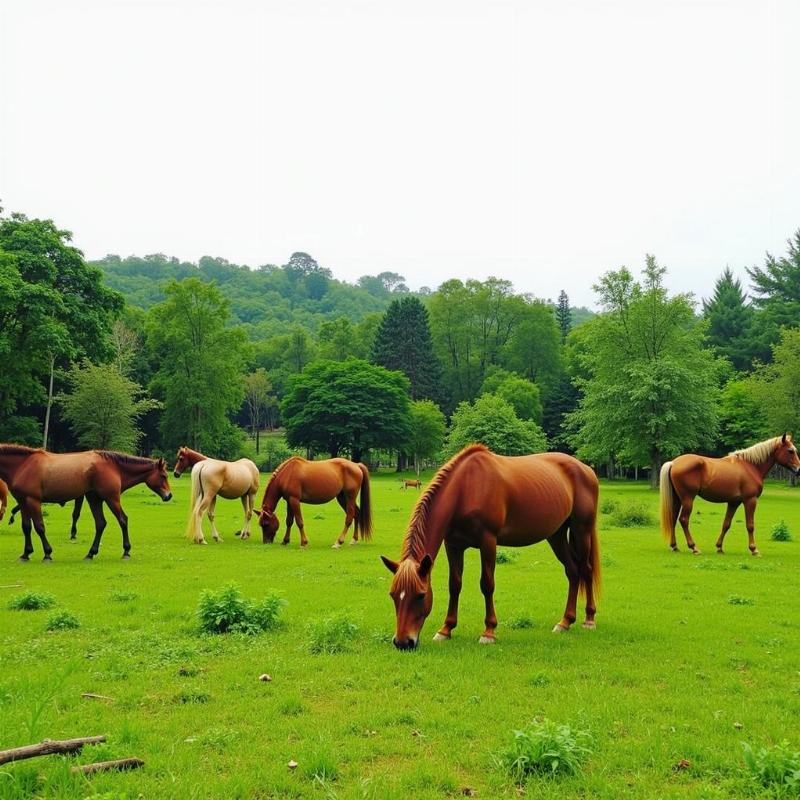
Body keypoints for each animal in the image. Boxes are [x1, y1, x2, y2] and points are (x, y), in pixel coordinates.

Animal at [0, 444, 173, 564]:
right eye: (164, 476)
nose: (169, 495)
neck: (23, 465)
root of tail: (110, 463)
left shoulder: (33, 501)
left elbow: (40, 527)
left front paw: (47, 554)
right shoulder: (23, 501)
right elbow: (26, 527)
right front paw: (26, 553)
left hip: (110, 498)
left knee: (122, 520)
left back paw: (126, 552)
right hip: (94, 499)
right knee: (101, 523)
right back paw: (91, 553)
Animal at [382, 444, 600, 648]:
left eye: (420, 595)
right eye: (393, 595)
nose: (403, 642)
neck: (465, 488)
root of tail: (586, 469)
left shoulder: (488, 542)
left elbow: (487, 584)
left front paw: (489, 632)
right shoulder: (453, 545)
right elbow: (455, 584)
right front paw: (446, 629)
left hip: (581, 530)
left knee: (586, 570)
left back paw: (589, 619)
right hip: (556, 535)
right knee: (572, 571)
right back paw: (565, 622)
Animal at [664, 432, 800, 556]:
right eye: (790, 451)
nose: (798, 469)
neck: (750, 466)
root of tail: (673, 463)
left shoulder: (734, 502)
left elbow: (726, 524)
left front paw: (719, 547)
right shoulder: (750, 500)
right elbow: (750, 525)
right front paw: (754, 549)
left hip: (677, 499)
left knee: (673, 518)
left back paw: (674, 546)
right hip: (688, 499)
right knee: (683, 520)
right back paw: (693, 547)